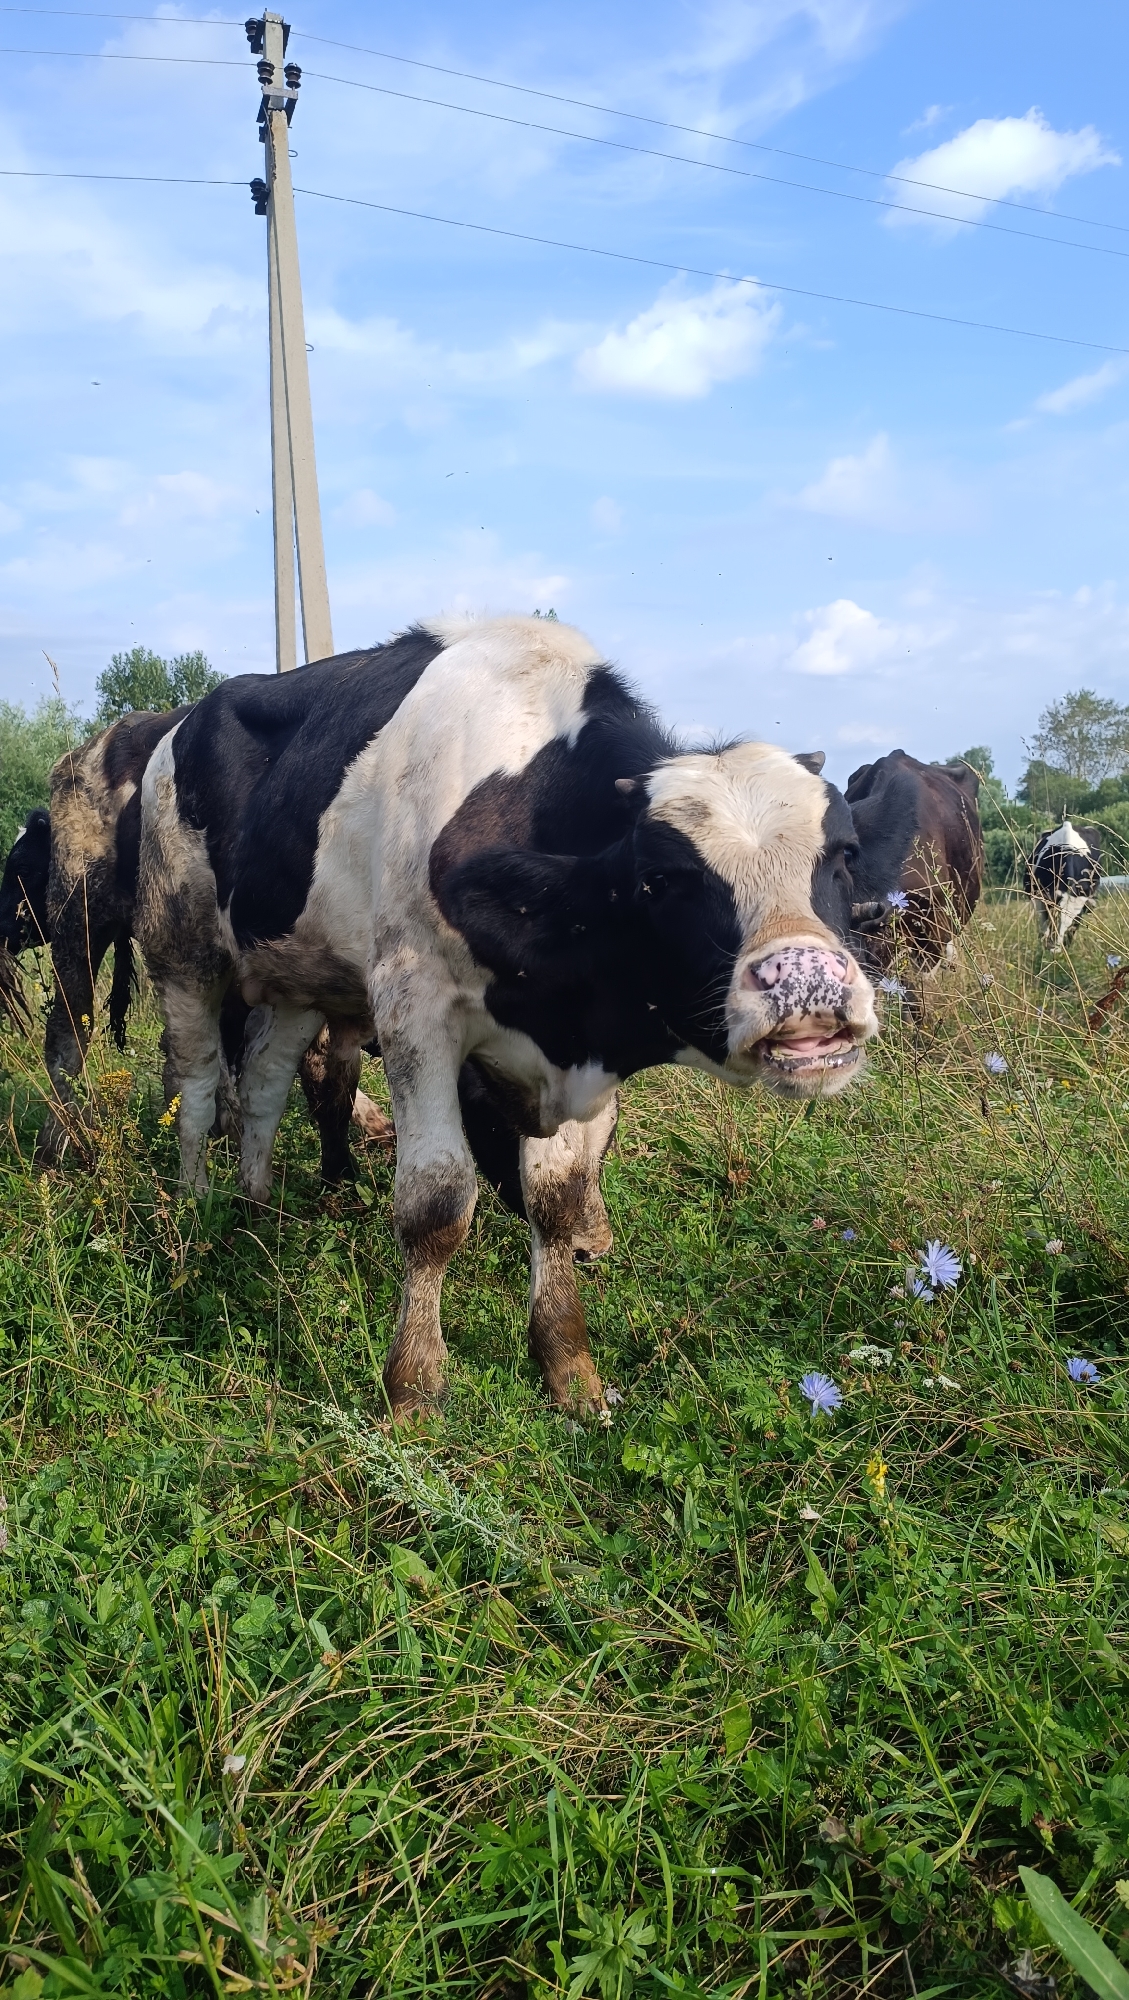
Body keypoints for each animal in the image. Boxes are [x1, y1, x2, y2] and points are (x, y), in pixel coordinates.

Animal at [135, 614, 888, 1421]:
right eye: (659, 880)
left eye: (844, 854)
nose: (806, 983)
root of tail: (182, 720)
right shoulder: (414, 1007)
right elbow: (435, 1203)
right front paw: (414, 1385)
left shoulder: (565, 1051)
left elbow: (555, 1198)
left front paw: (567, 1366)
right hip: (183, 950)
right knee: (199, 1084)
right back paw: (197, 1209)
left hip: (296, 981)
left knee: (267, 1082)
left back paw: (258, 1206)